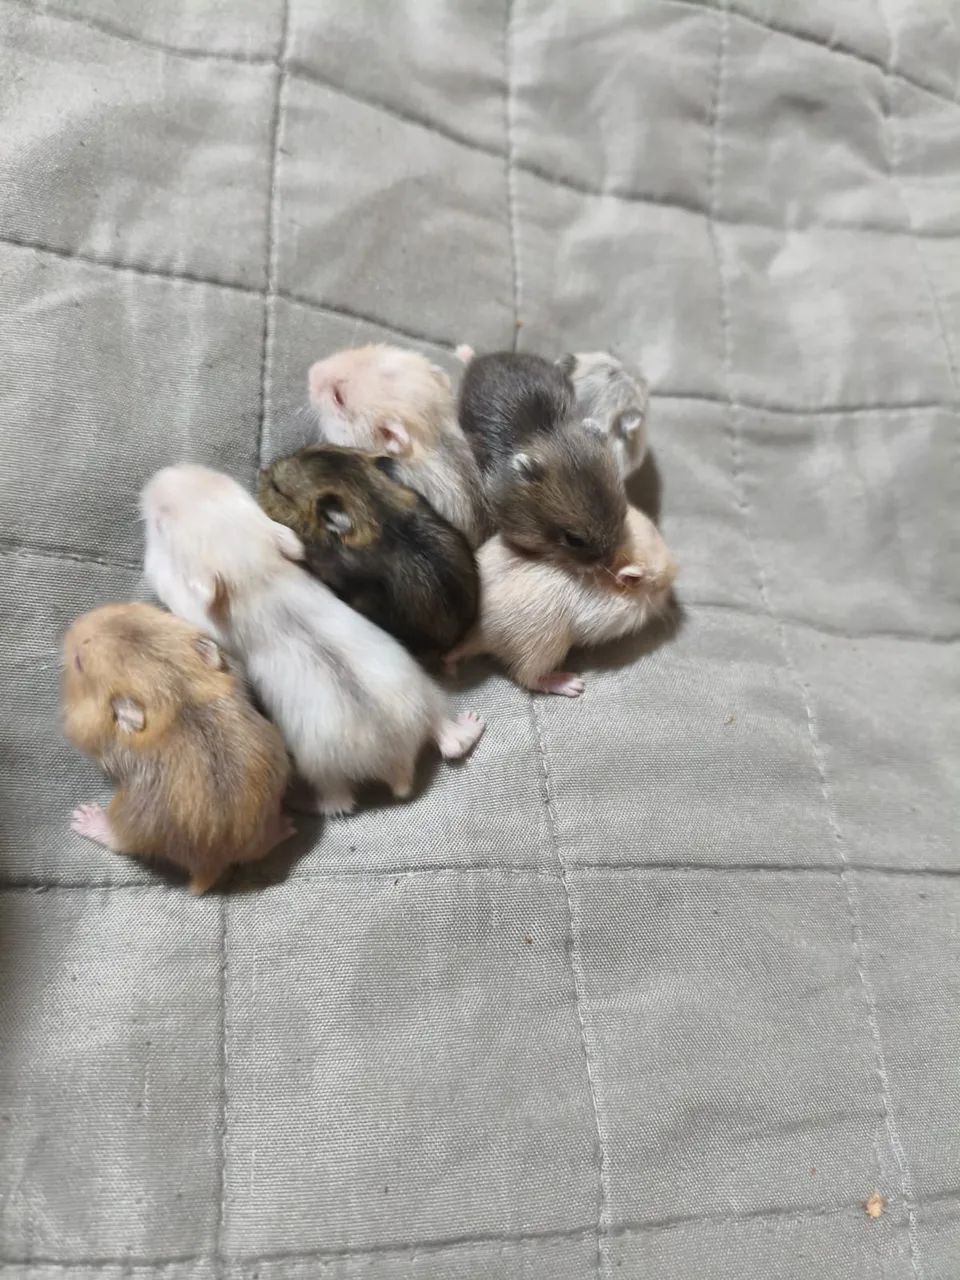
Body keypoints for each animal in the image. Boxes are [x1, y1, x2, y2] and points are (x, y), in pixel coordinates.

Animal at [63, 603, 293, 893]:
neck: (176, 689)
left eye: (79, 663)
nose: (73, 624)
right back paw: (288, 827)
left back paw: (84, 817)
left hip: (130, 822)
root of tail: (212, 863)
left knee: (121, 842)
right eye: (131, 608)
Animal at [446, 506, 677, 698]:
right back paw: (570, 684)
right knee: (526, 677)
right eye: (659, 586)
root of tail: (476, 635)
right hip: (545, 648)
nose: (676, 573)